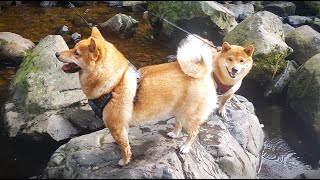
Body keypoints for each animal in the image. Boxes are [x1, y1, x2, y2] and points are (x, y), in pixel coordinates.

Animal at [55, 27, 218, 167]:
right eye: (72, 48)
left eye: (76, 53)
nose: (56, 54)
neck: (114, 83)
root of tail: (202, 73)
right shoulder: (121, 127)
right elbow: (123, 141)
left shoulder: (116, 126)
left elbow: (125, 147)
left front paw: (124, 161)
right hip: (179, 111)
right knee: (178, 123)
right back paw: (174, 133)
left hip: (188, 116)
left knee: (193, 133)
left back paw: (185, 147)